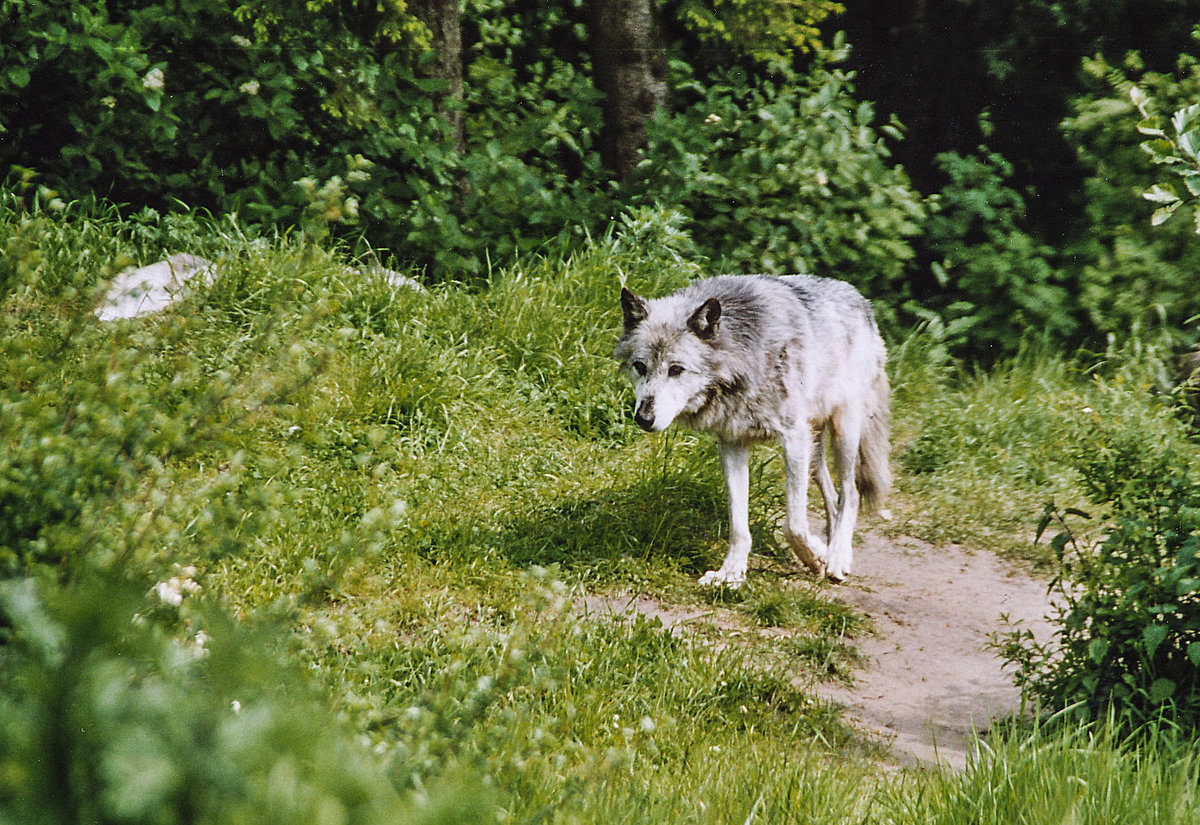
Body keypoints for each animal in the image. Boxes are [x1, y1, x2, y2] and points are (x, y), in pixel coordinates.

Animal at [619, 276, 892, 587]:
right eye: (640, 367)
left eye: (676, 370)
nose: (643, 418)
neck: (744, 355)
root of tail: (860, 298)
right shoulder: (732, 444)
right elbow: (739, 525)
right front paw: (731, 573)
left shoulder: (793, 439)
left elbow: (793, 525)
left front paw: (817, 556)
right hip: (814, 449)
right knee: (833, 498)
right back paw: (833, 546)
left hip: (843, 431)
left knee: (851, 493)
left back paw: (838, 557)